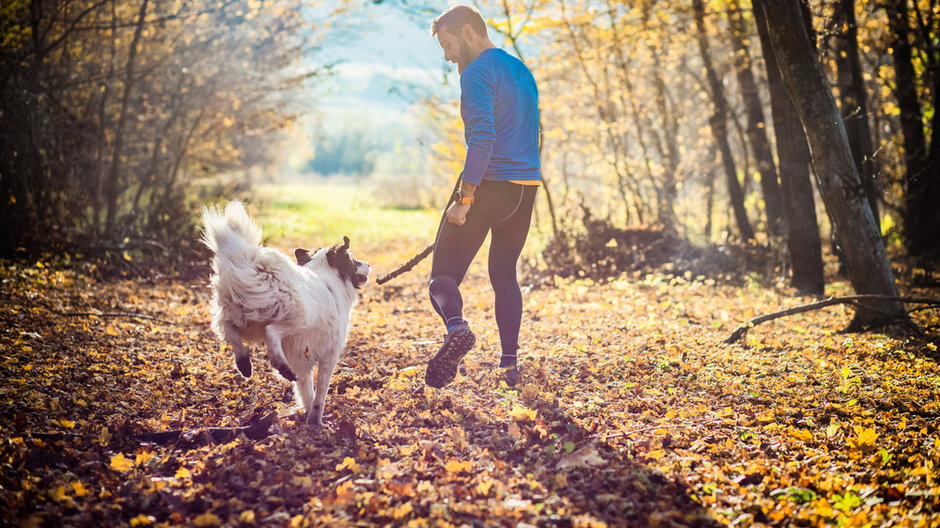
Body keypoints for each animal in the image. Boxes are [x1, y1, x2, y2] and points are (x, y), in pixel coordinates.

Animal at [200, 200, 370, 426]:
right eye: (354, 260)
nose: (369, 264)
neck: (327, 277)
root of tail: (253, 260)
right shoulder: (329, 356)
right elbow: (319, 396)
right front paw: (316, 421)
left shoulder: (304, 362)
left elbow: (307, 392)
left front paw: (308, 416)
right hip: (299, 316)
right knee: (272, 331)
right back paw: (282, 366)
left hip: (239, 314)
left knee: (229, 330)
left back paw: (244, 363)